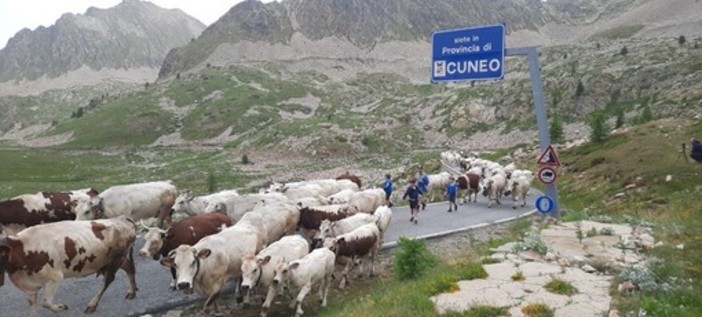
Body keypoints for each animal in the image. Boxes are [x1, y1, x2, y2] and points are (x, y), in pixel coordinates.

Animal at [0, 215, 137, 316]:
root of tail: (123, 218)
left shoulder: (55, 277)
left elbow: (46, 302)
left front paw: (61, 307)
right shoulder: (30, 287)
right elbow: (33, 308)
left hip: (116, 259)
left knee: (108, 280)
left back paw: (92, 305)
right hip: (111, 260)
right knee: (129, 268)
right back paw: (132, 292)